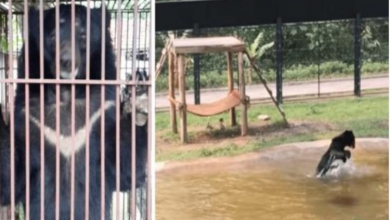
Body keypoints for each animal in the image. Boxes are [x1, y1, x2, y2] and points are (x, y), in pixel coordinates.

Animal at [0, 3, 148, 220]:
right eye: (53, 36)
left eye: (83, 36)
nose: (67, 61)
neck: (66, 91)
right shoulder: (29, 116)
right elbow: (12, 179)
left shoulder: (101, 113)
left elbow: (125, 171)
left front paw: (138, 92)